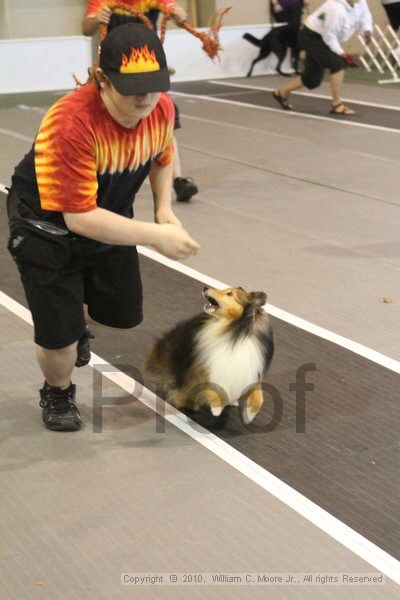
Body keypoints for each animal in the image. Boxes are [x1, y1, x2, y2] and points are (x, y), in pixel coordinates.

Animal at [145, 288, 274, 424]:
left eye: (230, 293)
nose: (205, 288)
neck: (234, 333)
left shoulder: (252, 369)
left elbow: (259, 395)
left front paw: (250, 414)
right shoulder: (205, 367)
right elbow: (212, 386)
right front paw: (217, 407)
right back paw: (191, 403)